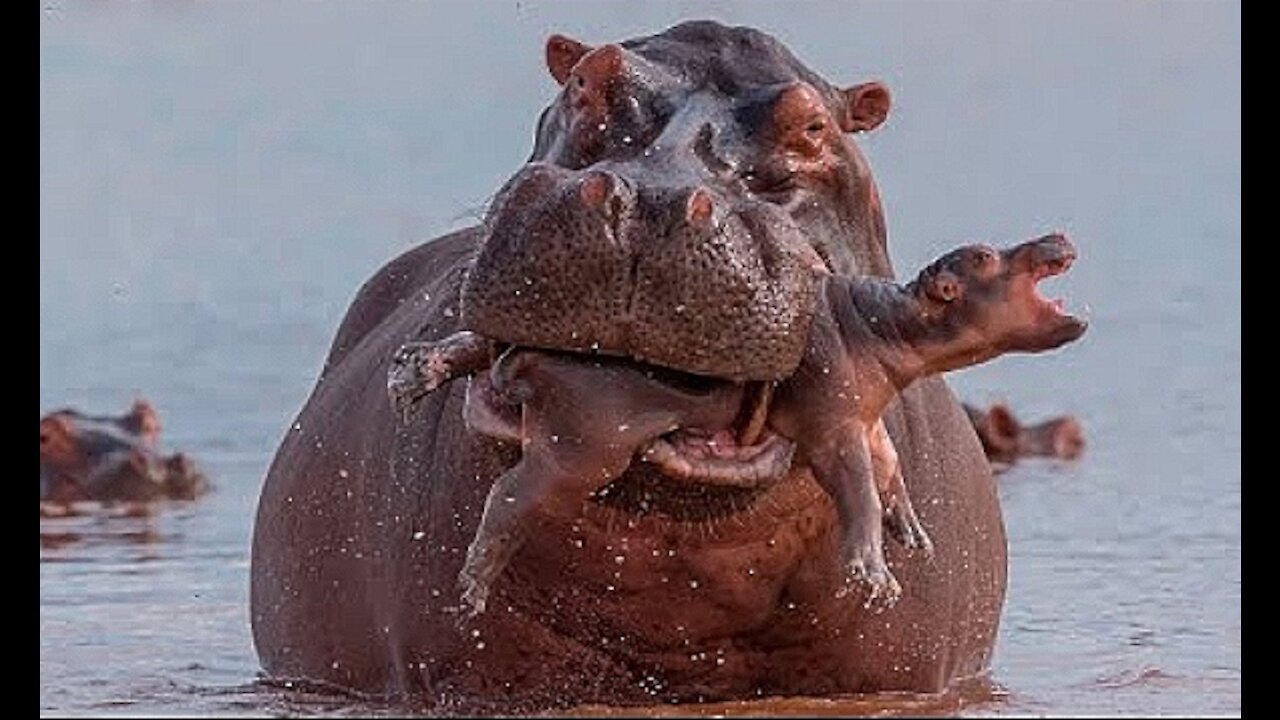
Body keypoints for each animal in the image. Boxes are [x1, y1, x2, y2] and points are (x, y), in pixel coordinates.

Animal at [391, 230, 1090, 609]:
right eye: (985, 258)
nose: (1055, 236)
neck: (884, 321)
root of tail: (532, 357)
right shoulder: (833, 427)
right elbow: (857, 491)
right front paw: (876, 580)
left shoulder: (865, 418)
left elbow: (887, 469)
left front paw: (914, 535)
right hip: (581, 447)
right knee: (510, 494)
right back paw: (473, 586)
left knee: (473, 343)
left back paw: (411, 374)